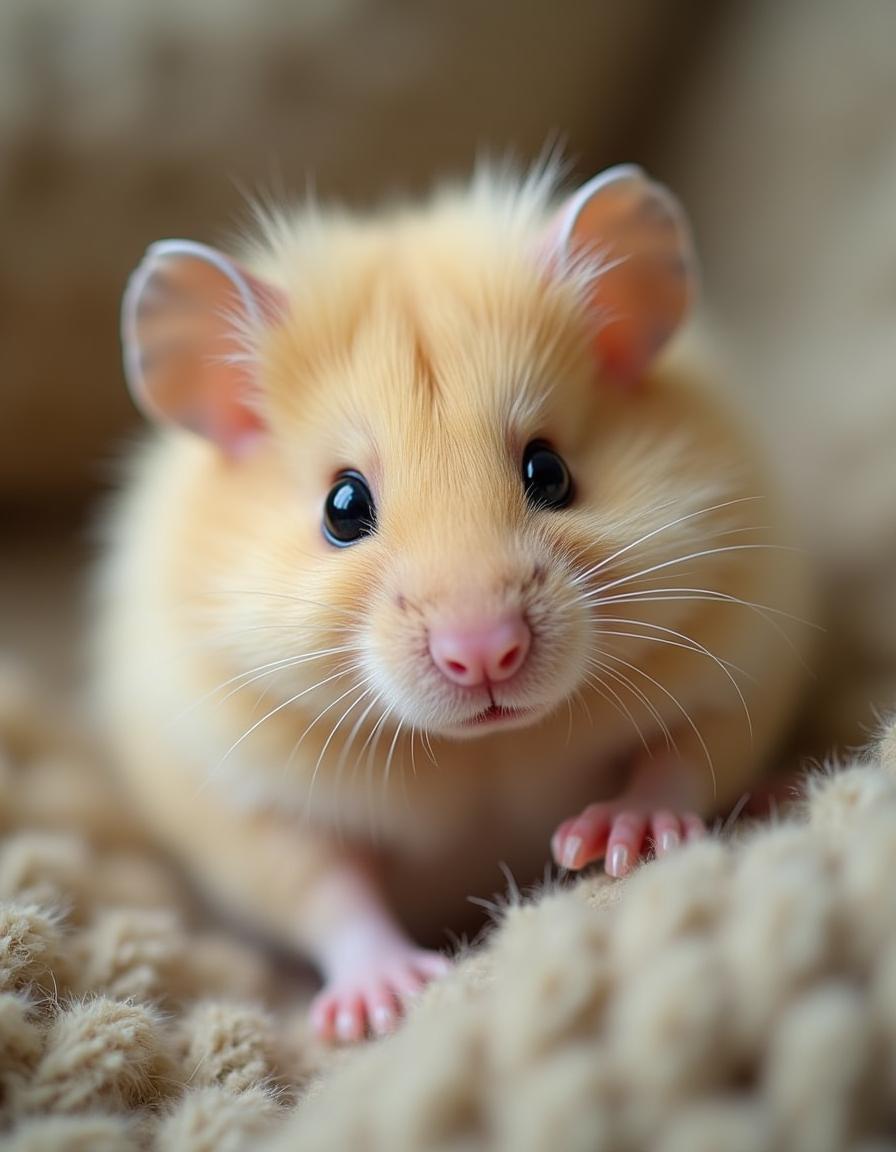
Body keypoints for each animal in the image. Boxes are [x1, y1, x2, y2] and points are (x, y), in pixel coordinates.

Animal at [94, 163, 811, 1043]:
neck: (483, 749)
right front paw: (384, 1003)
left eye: (549, 472)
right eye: (342, 507)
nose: (483, 654)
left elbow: (681, 760)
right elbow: (323, 887)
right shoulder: (236, 790)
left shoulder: (738, 663)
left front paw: (610, 841)